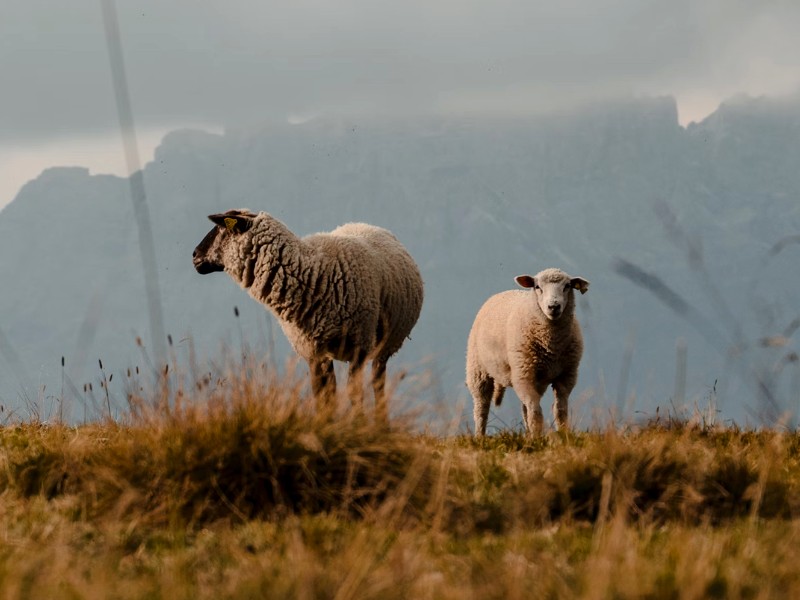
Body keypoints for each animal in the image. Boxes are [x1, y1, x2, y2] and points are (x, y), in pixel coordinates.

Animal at [192, 209, 424, 421]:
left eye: (220, 228)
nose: (194, 255)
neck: (314, 274)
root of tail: (364, 224)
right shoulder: (312, 352)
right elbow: (322, 396)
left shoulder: (359, 345)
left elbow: (354, 394)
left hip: (385, 344)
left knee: (378, 382)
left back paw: (381, 425)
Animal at [466, 268, 589, 437]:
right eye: (537, 287)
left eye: (567, 286)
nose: (553, 306)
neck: (551, 344)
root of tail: (503, 292)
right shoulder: (524, 374)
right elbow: (535, 411)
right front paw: (538, 438)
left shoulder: (566, 376)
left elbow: (560, 411)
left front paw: (563, 435)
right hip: (479, 370)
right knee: (481, 408)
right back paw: (480, 436)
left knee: (524, 409)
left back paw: (528, 435)